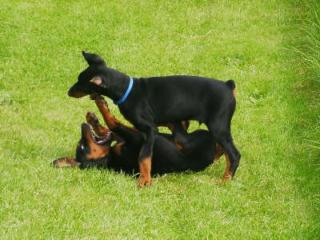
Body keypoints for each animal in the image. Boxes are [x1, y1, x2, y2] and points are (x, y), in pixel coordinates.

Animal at [69, 51, 240, 187]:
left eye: (81, 83)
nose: (68, 92)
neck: (127, 90)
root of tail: (228, 86)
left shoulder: (149, 130)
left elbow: (144, 156)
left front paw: (144, 179)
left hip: (215, 127)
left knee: (233, 154)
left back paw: (225, 179)